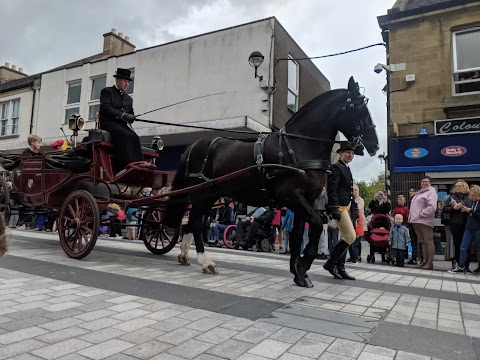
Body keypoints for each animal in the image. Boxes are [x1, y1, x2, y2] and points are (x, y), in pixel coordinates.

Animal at [164, 76, 378, 286]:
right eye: (360, 108)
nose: (375, 145)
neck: (299, 146)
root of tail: (194, 145)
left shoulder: (305, 201)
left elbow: (298, 234)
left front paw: (298, 273)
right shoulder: (292, 197)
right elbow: (316, 225)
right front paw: (303, 266)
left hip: (209, 194)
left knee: (192, 221)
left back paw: (185, 255)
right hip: (202, 192)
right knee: (195, 222)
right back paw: (206, 262)